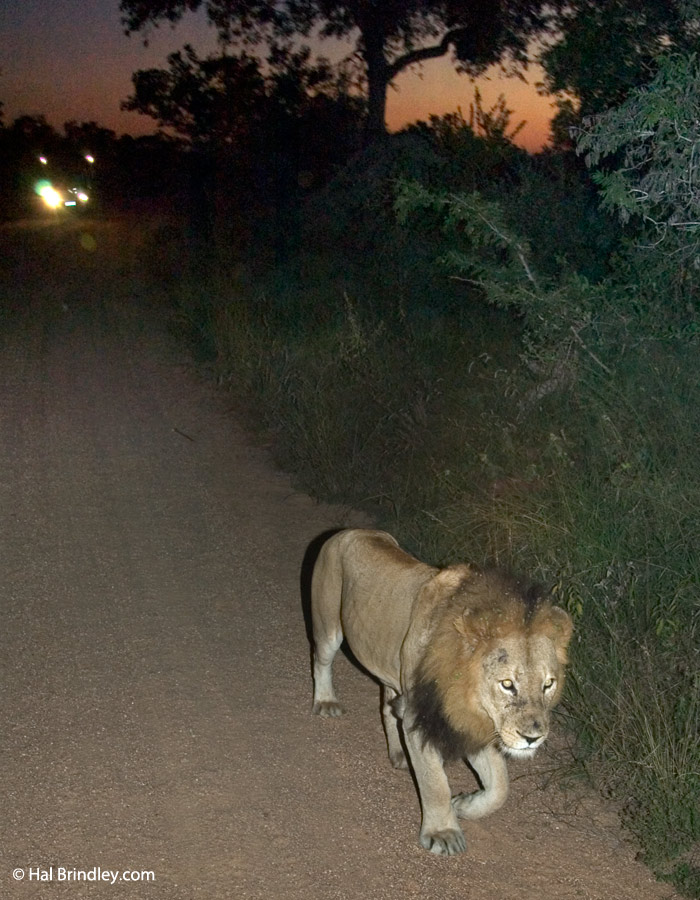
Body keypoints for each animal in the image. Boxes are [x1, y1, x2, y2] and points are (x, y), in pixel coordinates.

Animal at [312, 528, 576, 856]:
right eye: (507, 684)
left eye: (548, 684)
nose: (533, 738)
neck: (465, 691)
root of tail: (351, 530)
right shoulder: (420, 715)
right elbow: (434, 781)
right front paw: (443, 833)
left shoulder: (477, 721)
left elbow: (500, 787)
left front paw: (464, 804)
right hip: (328, 626)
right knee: (321, 660)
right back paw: (326, 701)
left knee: (387, 703)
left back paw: (398, 753)